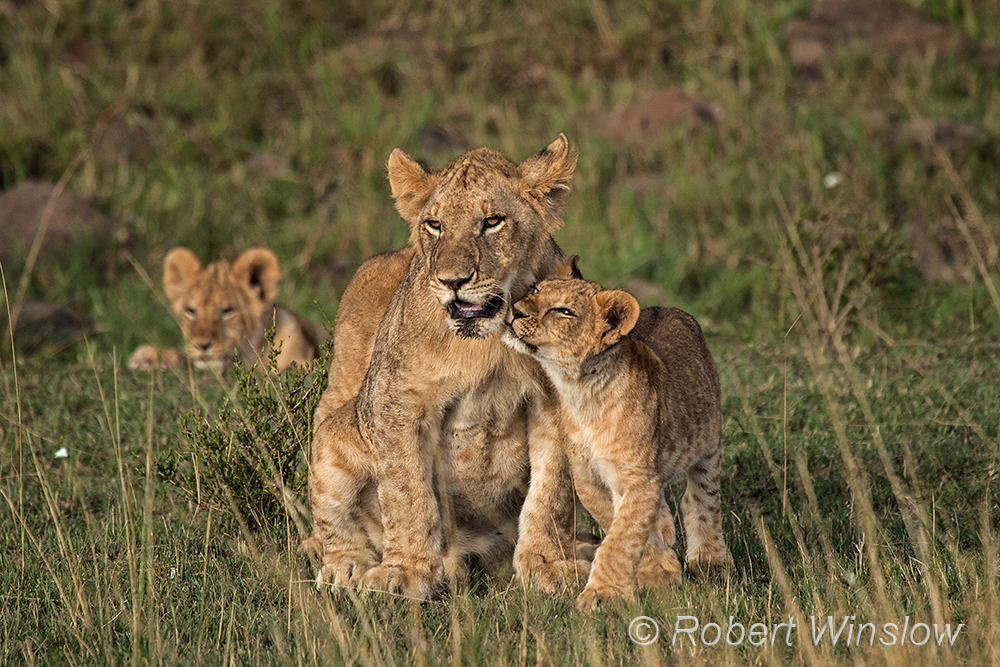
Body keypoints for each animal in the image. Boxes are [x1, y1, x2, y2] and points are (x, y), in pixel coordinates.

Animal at [306, 135, 592, 599]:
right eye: (434, 225)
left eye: (492, 221)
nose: (452, 281)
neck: (487, 343)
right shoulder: (396, 401)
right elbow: (407, 492)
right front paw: (405, 572)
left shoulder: (558, 400)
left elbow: (552, 492)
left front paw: (548, 565)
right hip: (333, 434)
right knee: (334, 528)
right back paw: (347, 569)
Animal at [502, 259, 729, 611]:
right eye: (535, 291)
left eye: (563, 311)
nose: (514, 311)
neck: (579, 391)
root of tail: (669, 308)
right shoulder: (587, 477)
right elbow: (618, 524)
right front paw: (658, 570)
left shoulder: (635, 478)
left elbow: (623, 536)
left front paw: (604, 594)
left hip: (709, 441)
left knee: (701, 499)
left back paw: (709, 559)